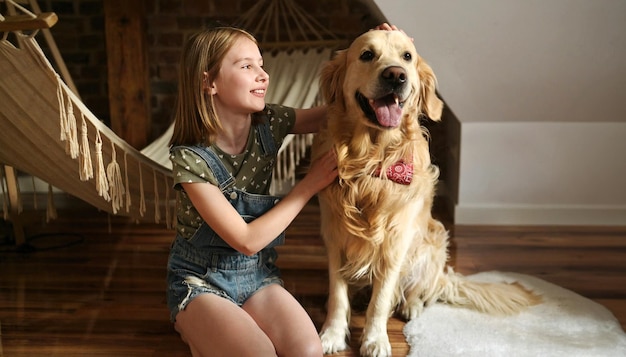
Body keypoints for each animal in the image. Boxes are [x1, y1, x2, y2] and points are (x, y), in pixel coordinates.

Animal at [312, 30, 536, 356]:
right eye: (367, 55)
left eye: (407, 57)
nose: (396, 75)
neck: (372, 163)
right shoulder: (335, 236)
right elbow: (338, 295)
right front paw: (331, 335)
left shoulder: (395, 243)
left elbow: (381, 301)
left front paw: (375, 340)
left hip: (432, 244)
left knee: (414, 292)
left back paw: (412, 306)